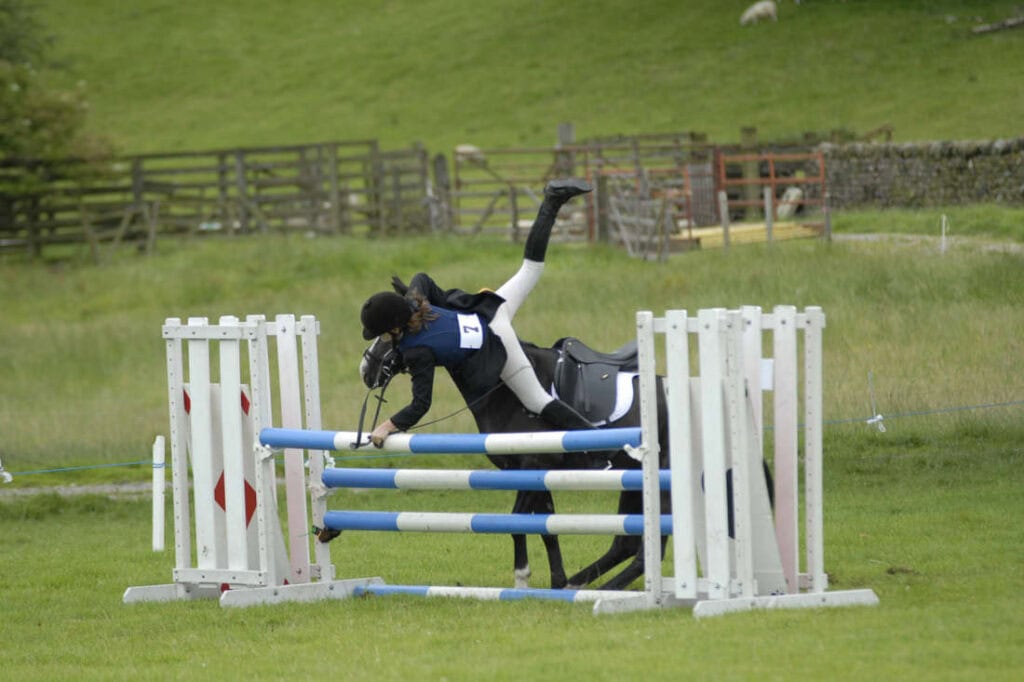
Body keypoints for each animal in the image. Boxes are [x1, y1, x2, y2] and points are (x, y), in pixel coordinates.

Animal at [359, 334, 671, 591]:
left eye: (389, 334)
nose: (366, 368)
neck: (505, 387)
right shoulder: (532, 473)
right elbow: (546, 528)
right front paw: (557, 582)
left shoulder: (532, 465)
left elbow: (516, 521)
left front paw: (522, 576)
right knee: (626, 543)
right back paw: (580, 584)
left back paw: (606, 589)